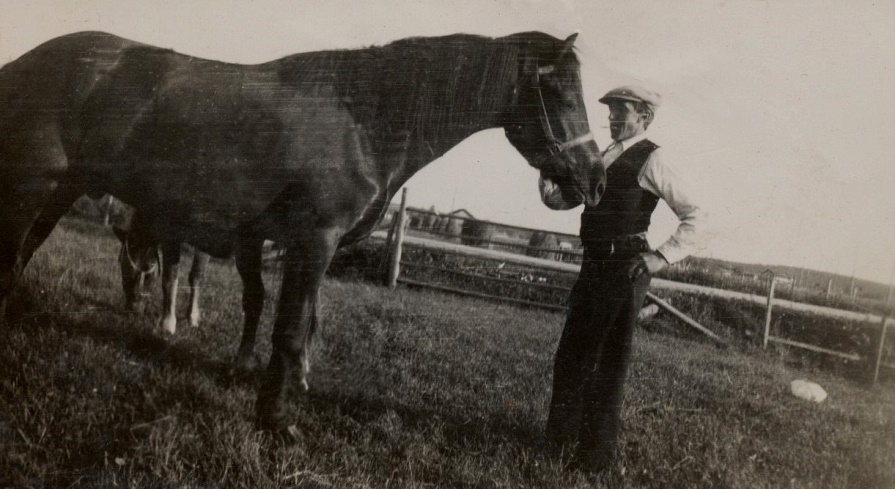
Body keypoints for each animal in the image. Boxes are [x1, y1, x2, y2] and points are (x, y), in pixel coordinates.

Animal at [0, 30, 604, 430]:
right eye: (561, 94)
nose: (594, 177)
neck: (365, 120)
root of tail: (23, 64)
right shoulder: (312, 241)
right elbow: (289, 330)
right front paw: (274, 416)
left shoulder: (306, 249)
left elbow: (305, 321)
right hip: (30, 191)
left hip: (56, 194)